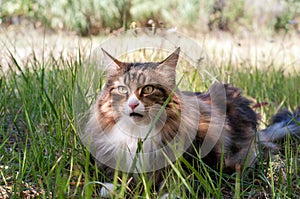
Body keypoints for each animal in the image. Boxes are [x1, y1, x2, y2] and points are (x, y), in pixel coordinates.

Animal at [83, 47, 300, 197]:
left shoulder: (198, 152)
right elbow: (119, 172)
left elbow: (179, 176)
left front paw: (171, 194)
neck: (138, 134)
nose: (133, 103)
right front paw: (112, 187)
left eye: (148, 89)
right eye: (122, 89)